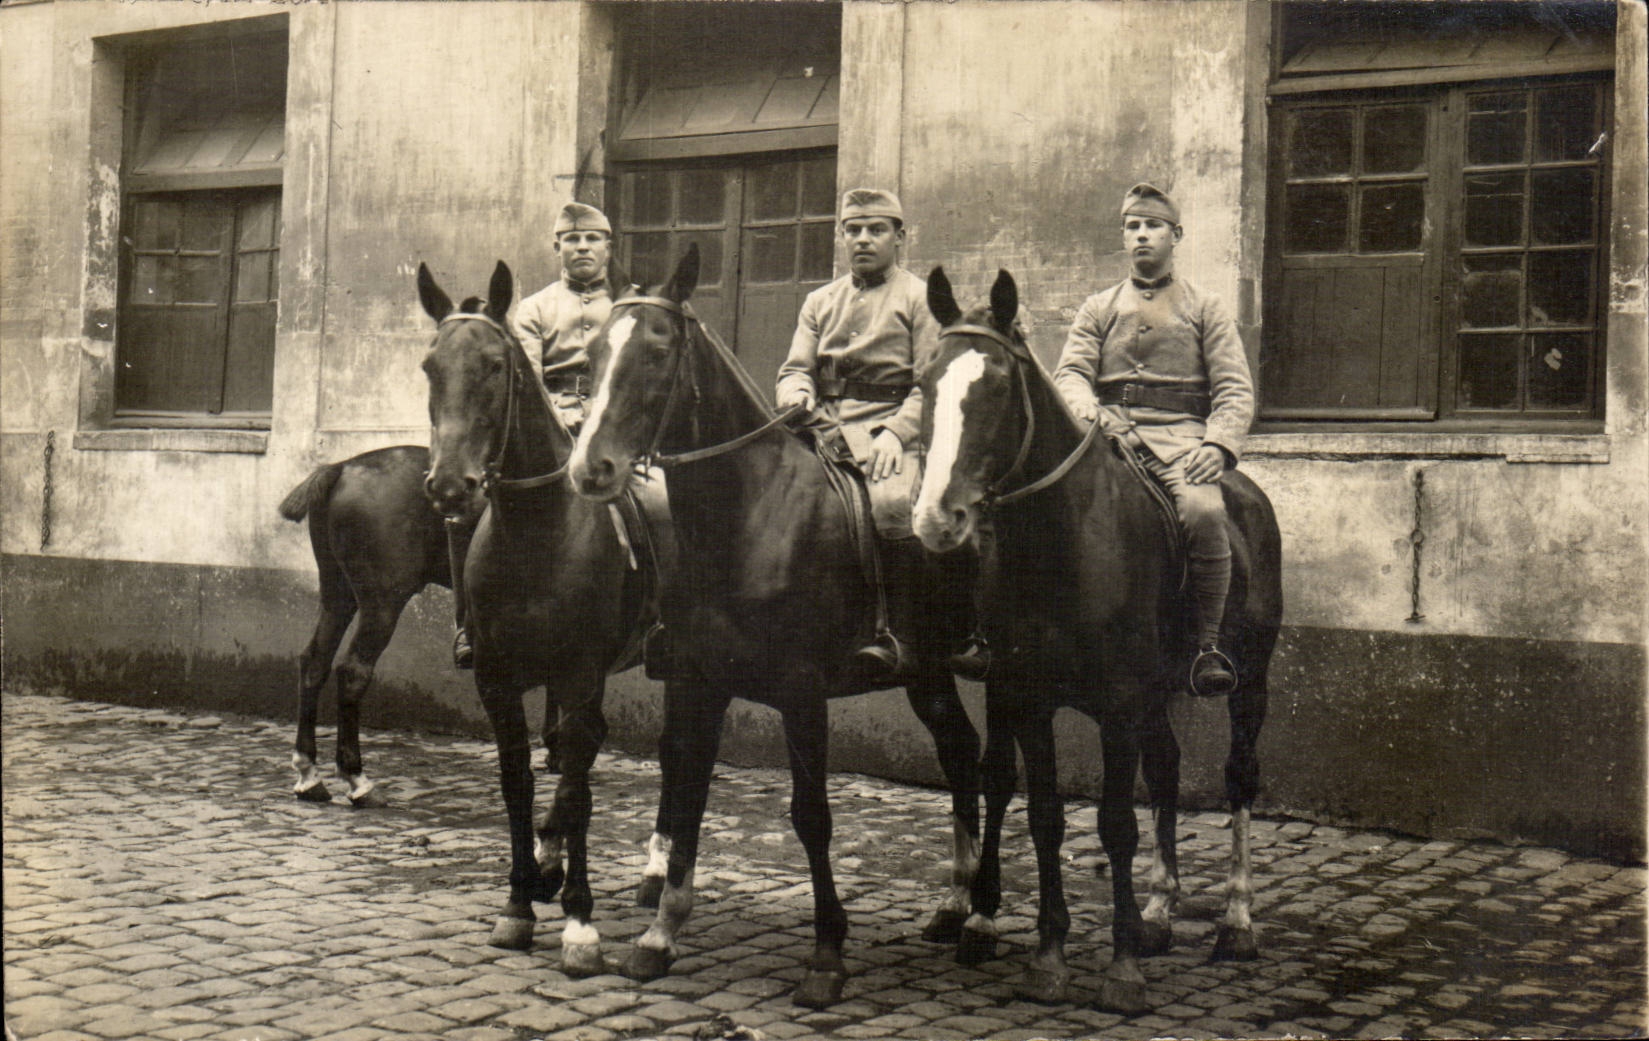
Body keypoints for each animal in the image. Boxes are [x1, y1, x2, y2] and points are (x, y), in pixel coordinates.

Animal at [416, 259, 666, 977]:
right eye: (429, 365)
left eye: (496, 365)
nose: (451, 485)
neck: (536, 531)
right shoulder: (496, 681)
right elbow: (518, 782)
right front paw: (519, 900)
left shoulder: (581, 674)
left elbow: (578, 787)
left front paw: (580, 921)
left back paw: (653, 873)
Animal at [567, 245, 984, 1009]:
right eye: (596, 351)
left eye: (658, 350)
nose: (591, 468)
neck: (750, 514)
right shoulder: (697, 685)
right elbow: (688, 795)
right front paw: (659, 935)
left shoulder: (801, 693)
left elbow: (811, 815)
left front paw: (826, 955)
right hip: (928, 669)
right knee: (961, 752)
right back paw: (954, 903)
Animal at [910, 267, 1283, 1012]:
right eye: (925, 381)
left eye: (998, 387)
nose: (936, 517)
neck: (1060, 540)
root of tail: (1244, 488)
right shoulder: (1030, 699)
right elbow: (1047, 817)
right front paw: (1051, 957)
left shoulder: (1115, 707)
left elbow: (1115, 824)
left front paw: (1121, 970)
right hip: (1155, 695)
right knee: (1166, 767)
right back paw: (1160, 912)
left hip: (1247, 682)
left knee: (1238, 778)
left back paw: (1235, 921)